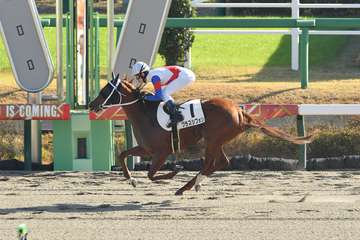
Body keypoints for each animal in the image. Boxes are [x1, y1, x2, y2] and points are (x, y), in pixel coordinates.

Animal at [88, 75, 312, 195]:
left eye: (105, 90)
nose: (91, 105)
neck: (145, 114)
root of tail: (239, 111)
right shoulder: (146, 148)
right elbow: (122, 155)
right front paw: (131, 180)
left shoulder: (161, 151)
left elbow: (152, 174)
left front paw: (174, 171)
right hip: (216, 140)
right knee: (221, 162)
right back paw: (190, 185)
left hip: (212, 139)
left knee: (213, 163)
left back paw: (189, 185)